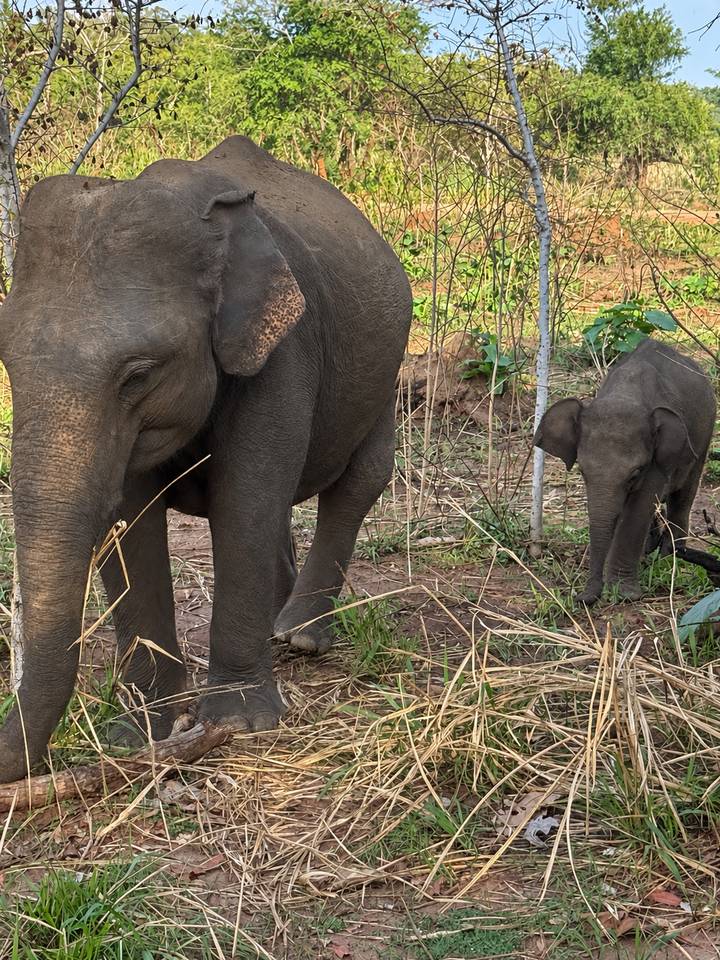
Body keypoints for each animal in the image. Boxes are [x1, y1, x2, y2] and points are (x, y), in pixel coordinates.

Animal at [0, 135, 412, 783]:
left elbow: (245, 498)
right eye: (6, 361)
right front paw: (142, 732)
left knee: (359, 481)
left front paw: (241, 722)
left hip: (383, 372)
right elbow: (131, 522)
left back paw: (299, 637)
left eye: (138, 374)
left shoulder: (285, 351)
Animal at [534, 339, 716, 604]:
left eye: (635, 474)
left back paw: (670, 559)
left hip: (703, 438)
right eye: (582, 472)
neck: (625, 394)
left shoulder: (657, 458)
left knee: (683, 496)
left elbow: (638, 507)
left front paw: (625, 594)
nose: (581, 597)